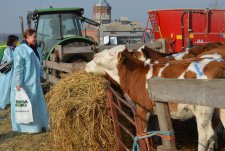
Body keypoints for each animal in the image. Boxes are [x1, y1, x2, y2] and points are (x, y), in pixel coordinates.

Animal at [85, 45, 225, 151]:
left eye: (111, 54)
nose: (93, 56)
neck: (137, 75)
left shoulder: (142, 108)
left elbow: (141, 133)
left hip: (203, 108)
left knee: (206, 135)